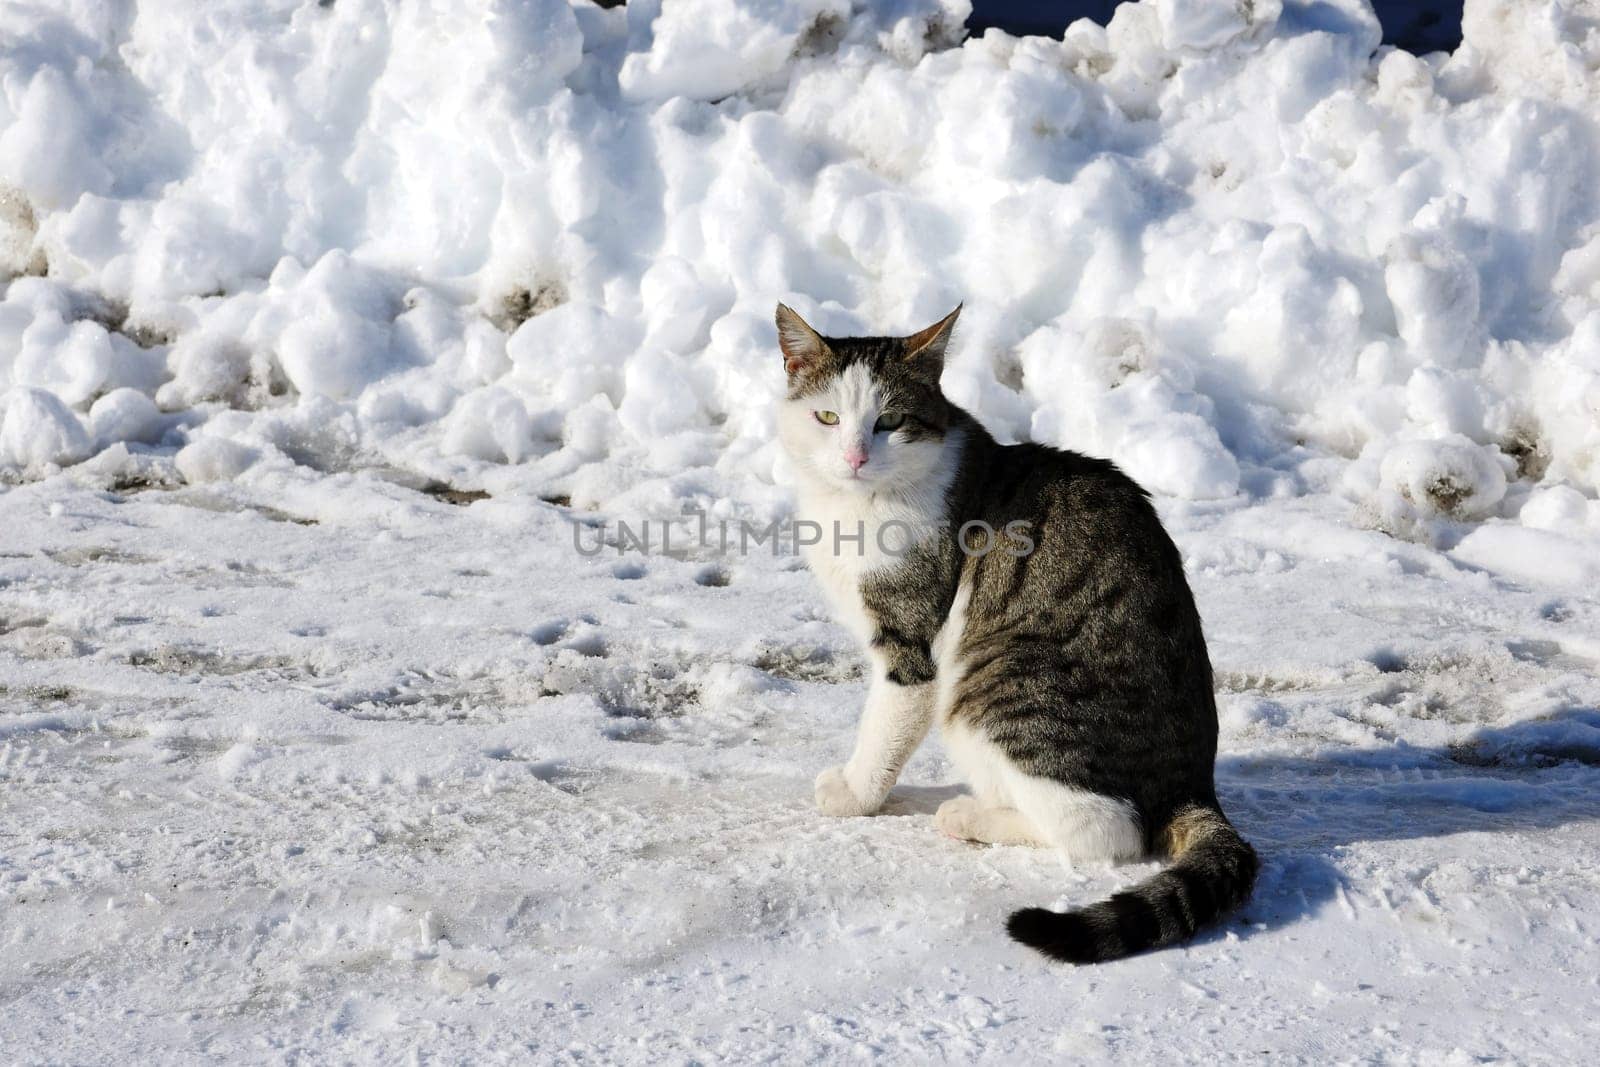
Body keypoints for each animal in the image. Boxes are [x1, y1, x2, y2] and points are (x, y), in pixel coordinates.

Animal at [777, 302, 1260, 966]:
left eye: (890, 421)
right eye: (827, 417)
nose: (855, 457)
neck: (860, 508)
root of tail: (1194, 784)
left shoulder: (911, 644)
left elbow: (883, 730)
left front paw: (854, 794)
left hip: (996, 686)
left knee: (1106, 830)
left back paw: (971, 817)